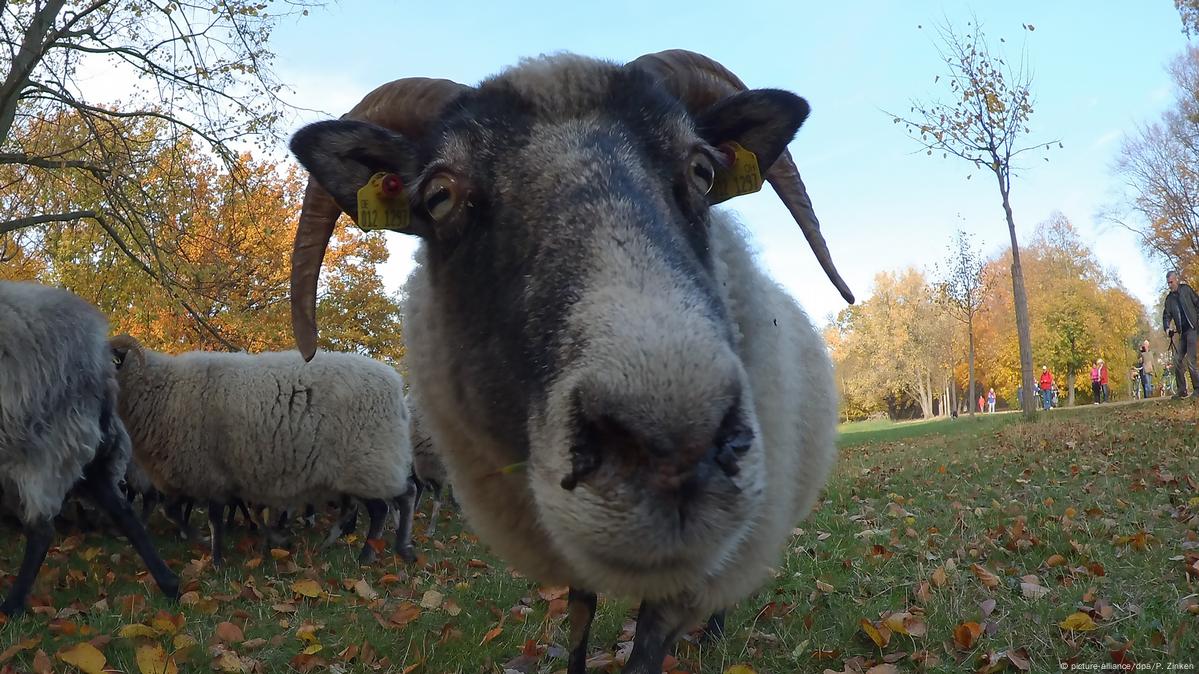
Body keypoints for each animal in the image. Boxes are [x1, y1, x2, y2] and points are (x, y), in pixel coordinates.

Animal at [109, 333, 417, 561]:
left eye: (109, 359)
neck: (162, 390)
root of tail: (396, 387)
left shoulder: (209, 472)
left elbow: (211, 519)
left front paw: (215, 557)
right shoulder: (198, 476)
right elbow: (173, 512)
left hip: (370, 461)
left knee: (383, 508)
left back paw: (368, 555)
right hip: (368, 466)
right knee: (401, 496)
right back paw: (392, 547)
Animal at [290, 49, 853, 666]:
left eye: (703, 172)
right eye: (437, 197)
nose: (675, 449)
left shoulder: (687, 575)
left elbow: (647, 652)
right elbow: (580, 625)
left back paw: (713, 634)